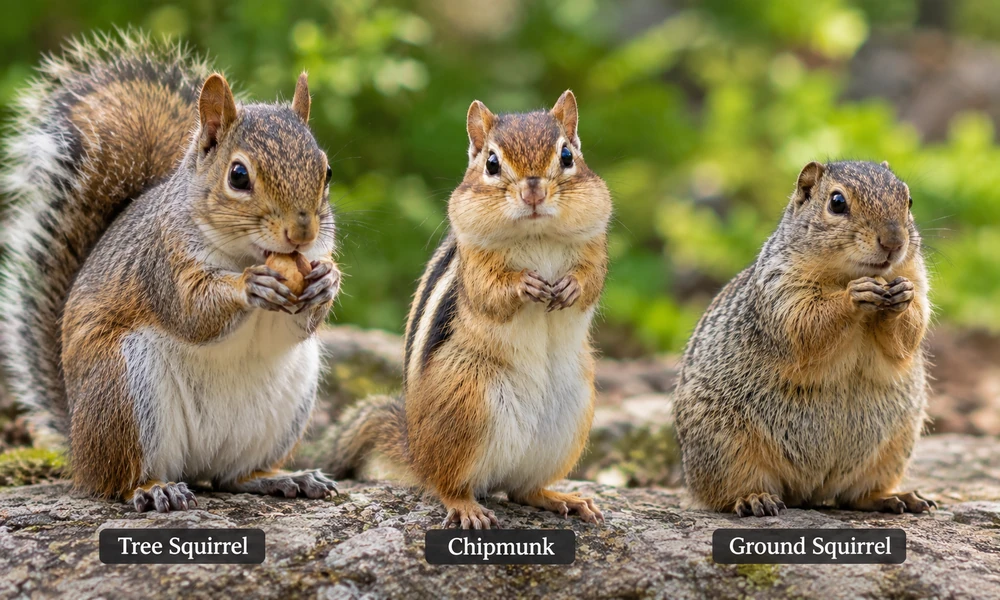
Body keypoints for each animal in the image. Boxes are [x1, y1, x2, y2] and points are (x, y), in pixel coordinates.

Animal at [0, 32, 341, 512]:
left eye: (326, 171)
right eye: (238, 175)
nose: (302, 233)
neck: (245, 254)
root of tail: (78, 447)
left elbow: (296, 326)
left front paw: (326, 281)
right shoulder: (162, 261)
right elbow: (191, 311)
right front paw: (249, 286)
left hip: (287, 405)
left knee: (231, 476)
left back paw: (281, 477)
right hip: (122, 392)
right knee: (119, 479)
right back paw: (151, 487)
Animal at [321, 91, 612, 528]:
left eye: (566, 155)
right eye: (491, 163)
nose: (533, 192)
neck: (538, 233)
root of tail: (416, 451)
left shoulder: (595, 246)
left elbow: (591, 280)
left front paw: (569, 287)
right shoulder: (474, 264)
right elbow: (490, 292)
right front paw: (525, 285)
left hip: (570, 417)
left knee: (523, 490)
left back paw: (562, 498)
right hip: (467, 401)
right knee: (447, 484)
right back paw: (466, 506)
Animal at [673, 160, 936, 517]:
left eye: (908, 201)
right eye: (837, 203)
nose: (894, 242)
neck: (851, 274)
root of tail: (810, 491)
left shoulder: (917, 280)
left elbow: (909, 334)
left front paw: (901, 298)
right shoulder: (782, 289)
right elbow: (806, 325)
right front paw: (854, 295)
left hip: (893, 449)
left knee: (854, 496)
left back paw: (895, 498)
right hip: (724, 447)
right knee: (725, 494)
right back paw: (754, 499)